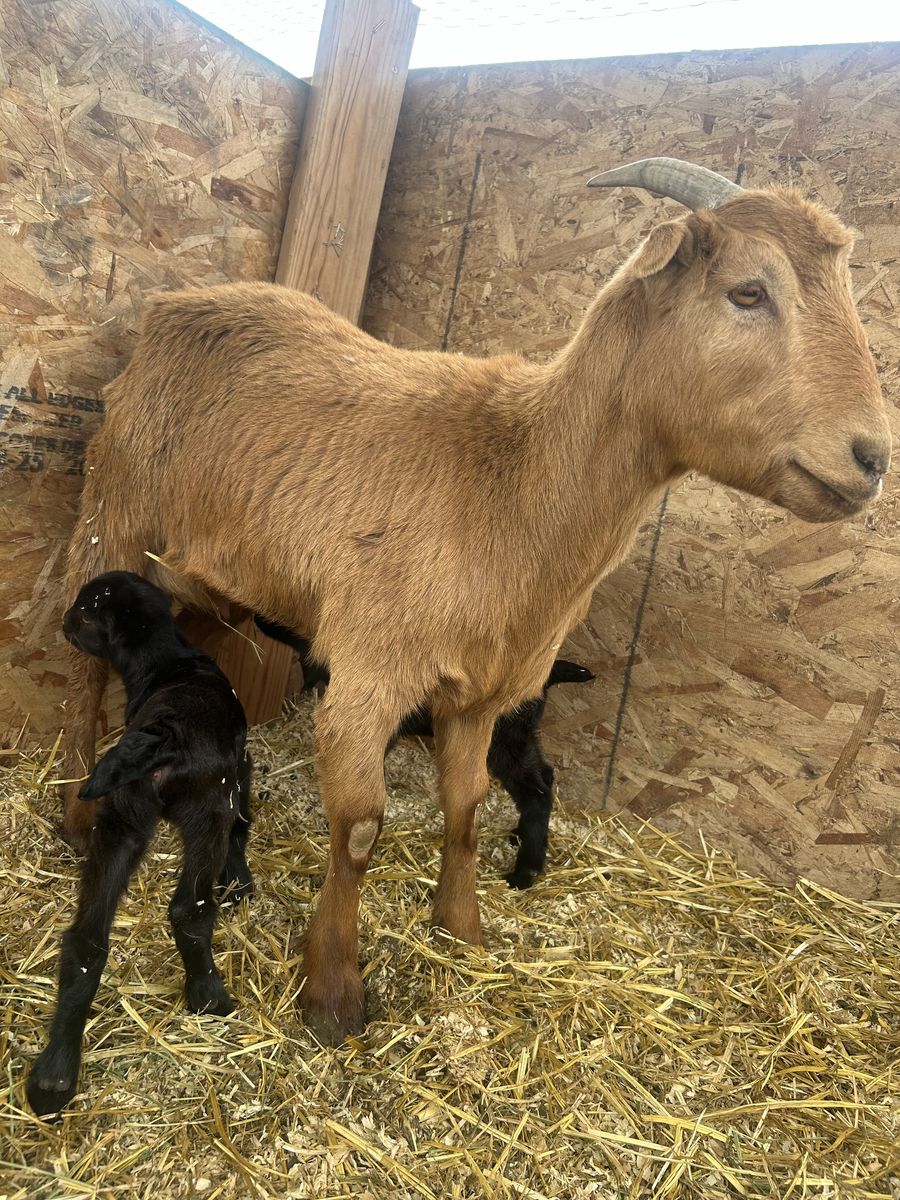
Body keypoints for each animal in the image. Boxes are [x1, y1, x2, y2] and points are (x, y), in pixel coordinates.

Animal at [28, 572, 252, 1116]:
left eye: (84, 611)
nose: (64, 622)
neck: (166, 661)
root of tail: (161, 734)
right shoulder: (239, 771)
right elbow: (244, 819)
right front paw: (240, 880)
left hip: (123, 817)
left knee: (88, 940)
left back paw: (53, 1077)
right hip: (206, 811)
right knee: (191, 908)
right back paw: (208, 993)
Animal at [254, 614, 595, 888]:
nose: (260, 619)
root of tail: (548, 674)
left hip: (504, 736)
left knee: (535, 793)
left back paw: (525, 873)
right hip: (519, 733)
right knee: (545, 776)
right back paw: (519, 835)